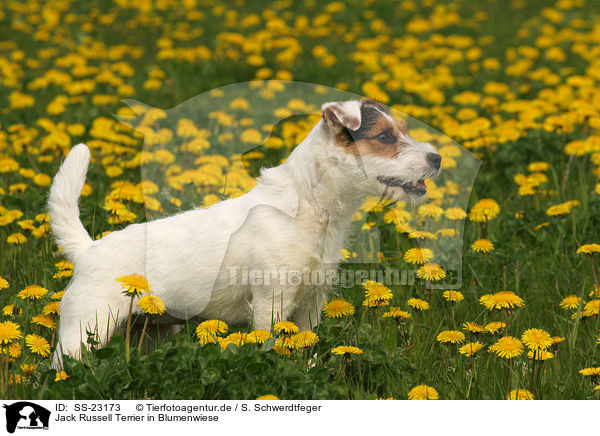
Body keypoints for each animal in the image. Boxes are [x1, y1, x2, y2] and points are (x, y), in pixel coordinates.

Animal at [48, 97, 440, 366]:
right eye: (385, 136)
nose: (437, 158)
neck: (311, 207)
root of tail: (87, 250)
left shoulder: (311, 303)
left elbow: (307, 343)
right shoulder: (272, 302)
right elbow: (270, 342)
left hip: (152, 329)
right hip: (84, 330)